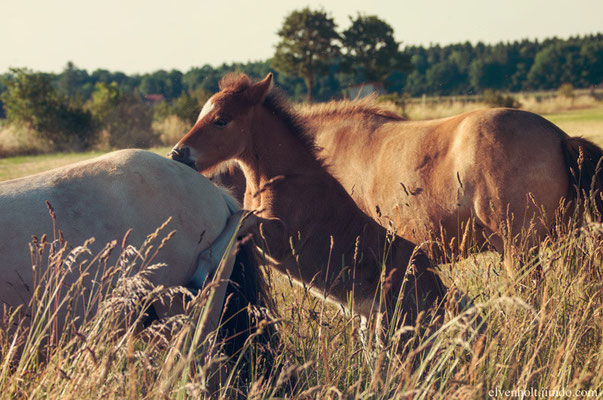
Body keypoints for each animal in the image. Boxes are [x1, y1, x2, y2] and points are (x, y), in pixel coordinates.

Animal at [170, 74, 448, 328]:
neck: (279, 179)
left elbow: (242, 218)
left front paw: (200, 272)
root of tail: (441, 290)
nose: (177, 153)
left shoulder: (281, 243)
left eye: (221, 121)